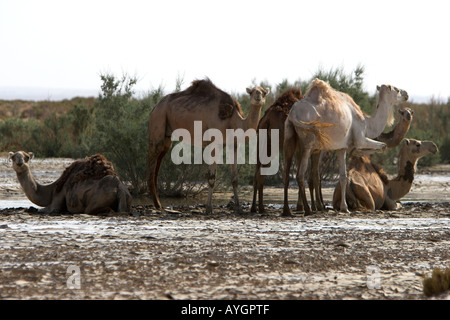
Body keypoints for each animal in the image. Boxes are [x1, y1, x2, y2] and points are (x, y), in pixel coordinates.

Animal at [148, 78, 268, 212]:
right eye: (251, 92)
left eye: (264, 92)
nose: (258, 95)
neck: (233, 120)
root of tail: (155, 107)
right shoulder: (215, 142)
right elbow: (211, 177)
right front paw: (209, 208)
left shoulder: (233, 144)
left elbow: (235, 178)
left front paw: (238, 208)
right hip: (158, 121)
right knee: (152, 159)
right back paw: (157, 204)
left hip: (167, 136)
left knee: (158, 161)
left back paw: (158, 204)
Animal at [284, 79, 408, 216]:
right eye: (396, 90)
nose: (406, 94)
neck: (367, 122)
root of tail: (293, 114)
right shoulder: (360, 138)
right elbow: (383, 146)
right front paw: (345, 208)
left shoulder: (341, 147)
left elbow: (343, 176)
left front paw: (344, 207)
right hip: (308, 143)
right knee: (301, 174)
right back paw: (307, 209)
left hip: (290, 136)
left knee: (289, 172)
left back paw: (288, 210)